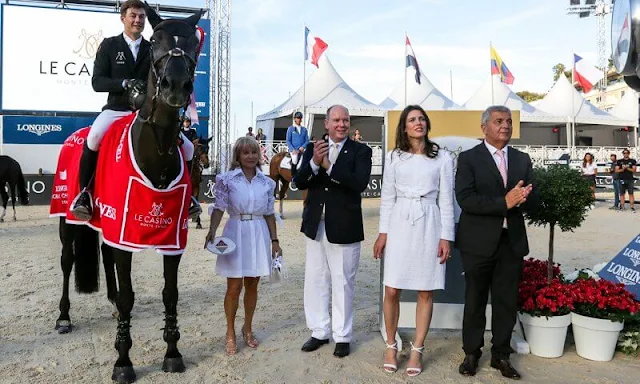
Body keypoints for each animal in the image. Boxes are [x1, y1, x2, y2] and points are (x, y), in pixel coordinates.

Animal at [57, 6, 204, 384]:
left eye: (192, 43)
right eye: (155, 41)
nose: (176, 87)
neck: (157, 148)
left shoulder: (171, 238)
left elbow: (170, 294)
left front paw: (173, 353)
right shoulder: (125, 238)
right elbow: (128, 298)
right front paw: (123, 362)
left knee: (105, 256)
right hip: (66, 220)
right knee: (67, 261)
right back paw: (63, 318)